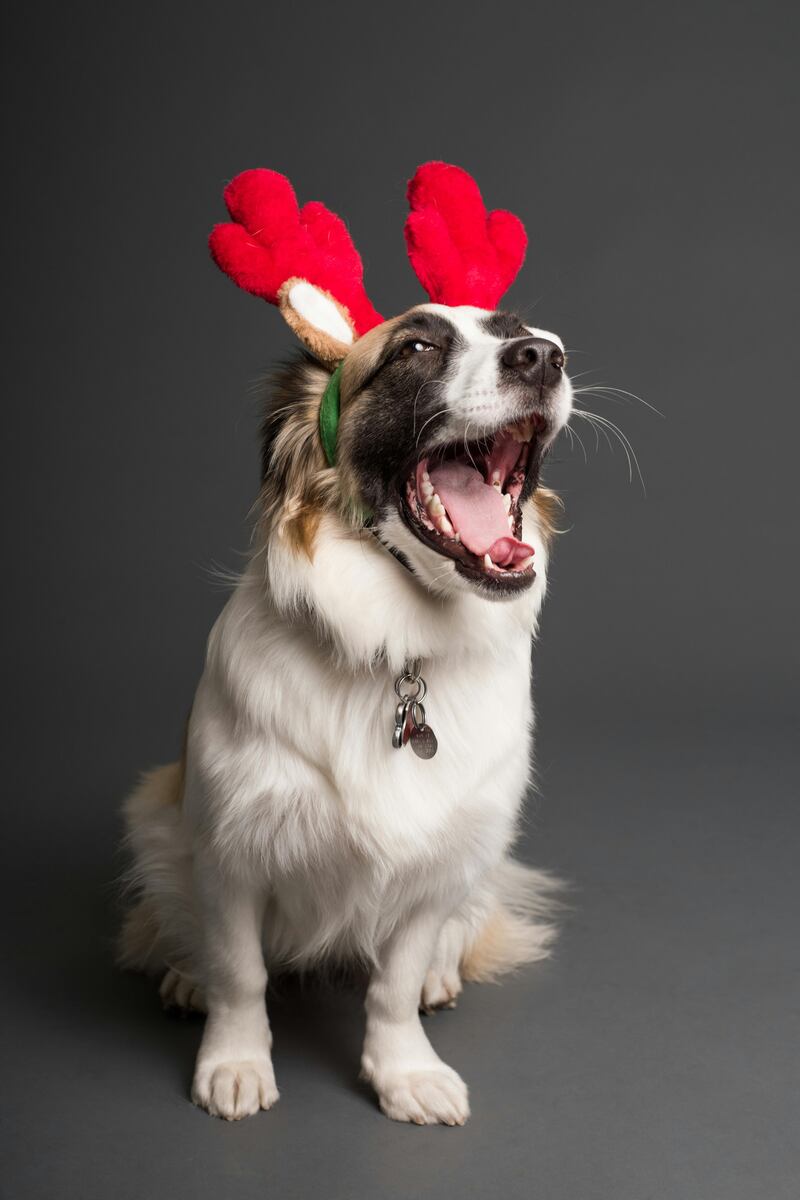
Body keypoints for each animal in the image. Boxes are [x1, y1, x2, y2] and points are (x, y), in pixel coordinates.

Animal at [120, 164, 575, 1128]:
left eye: (519, 330)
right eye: (415, 348)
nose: (544, 356)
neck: (398, 647)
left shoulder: (438, 854)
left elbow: (393, 985)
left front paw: (404, 1071)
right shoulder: (231, 848)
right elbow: (241, 972)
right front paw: (235, 1062)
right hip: (155, 816)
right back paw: (181, 972)